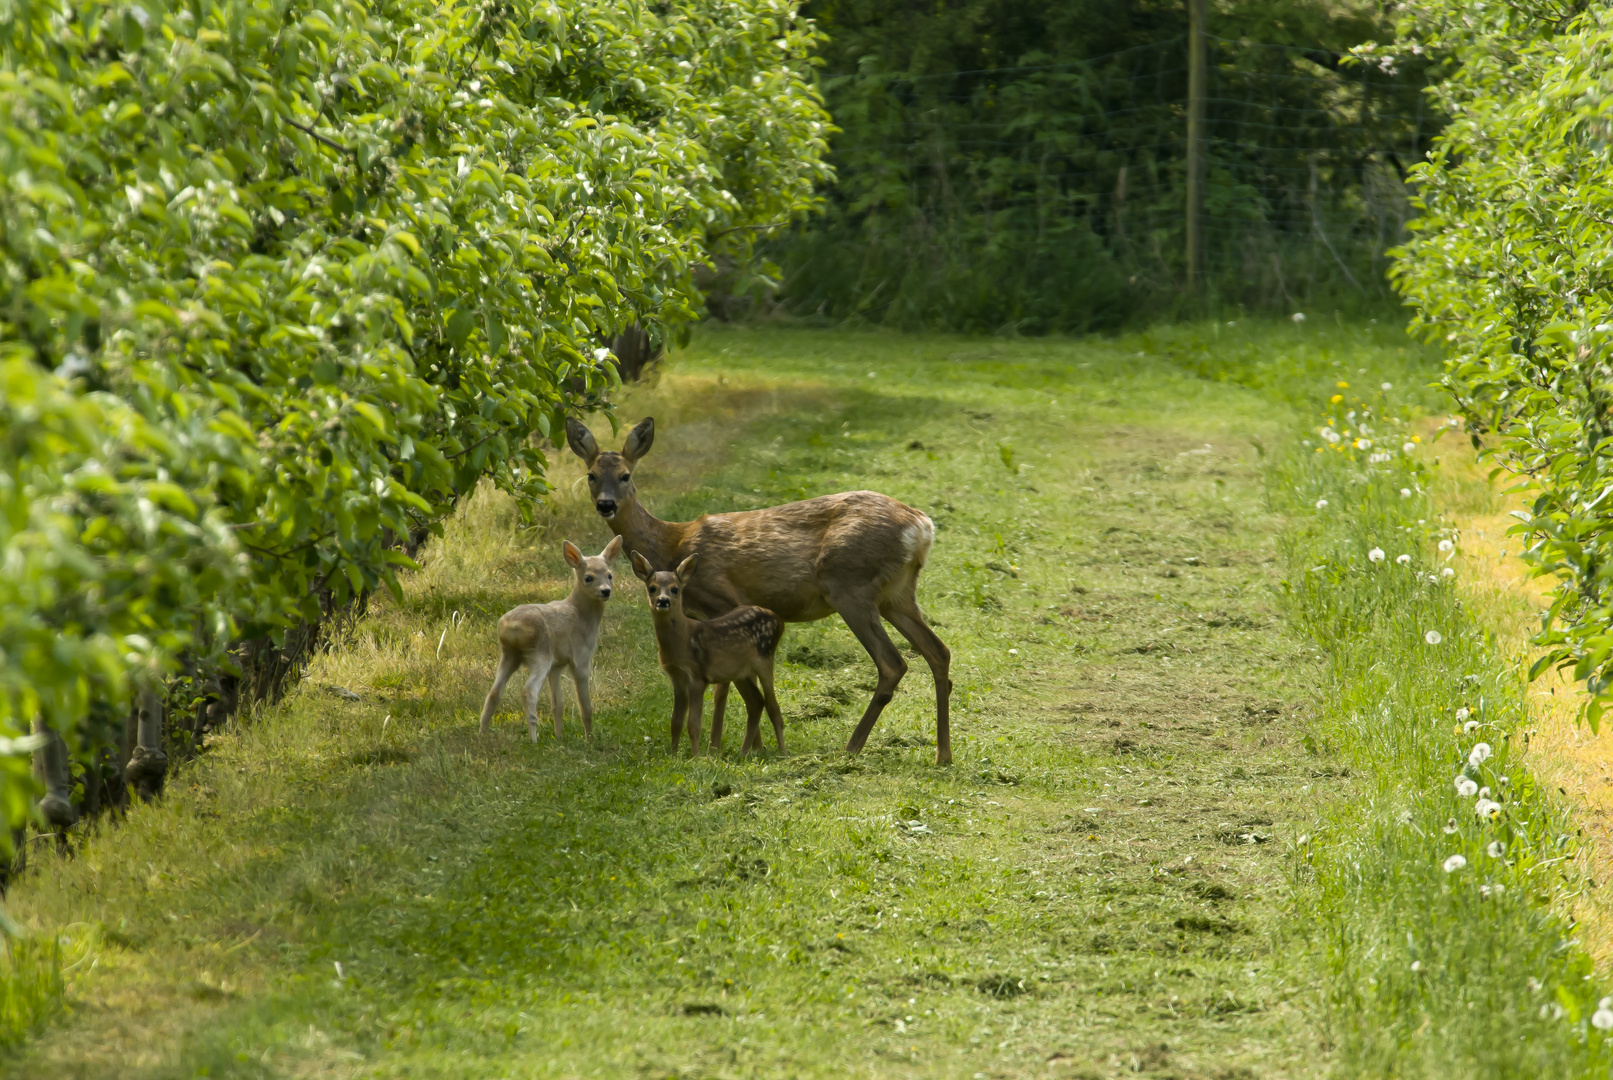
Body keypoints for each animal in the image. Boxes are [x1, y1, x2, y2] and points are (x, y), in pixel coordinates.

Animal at [629, 554, 787, 757]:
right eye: (652, 587)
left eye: (675, 589)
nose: (663, 601)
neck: (683, 641)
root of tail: (779, 619)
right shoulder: (677, 678)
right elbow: (675, 722)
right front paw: (673, 754)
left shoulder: (697, 675)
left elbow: (693, 724)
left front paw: (696, 757)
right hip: (739, 672)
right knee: (756, 702)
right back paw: (743, 752)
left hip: (765, 657)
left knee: (773, 707)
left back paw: (783, 752)